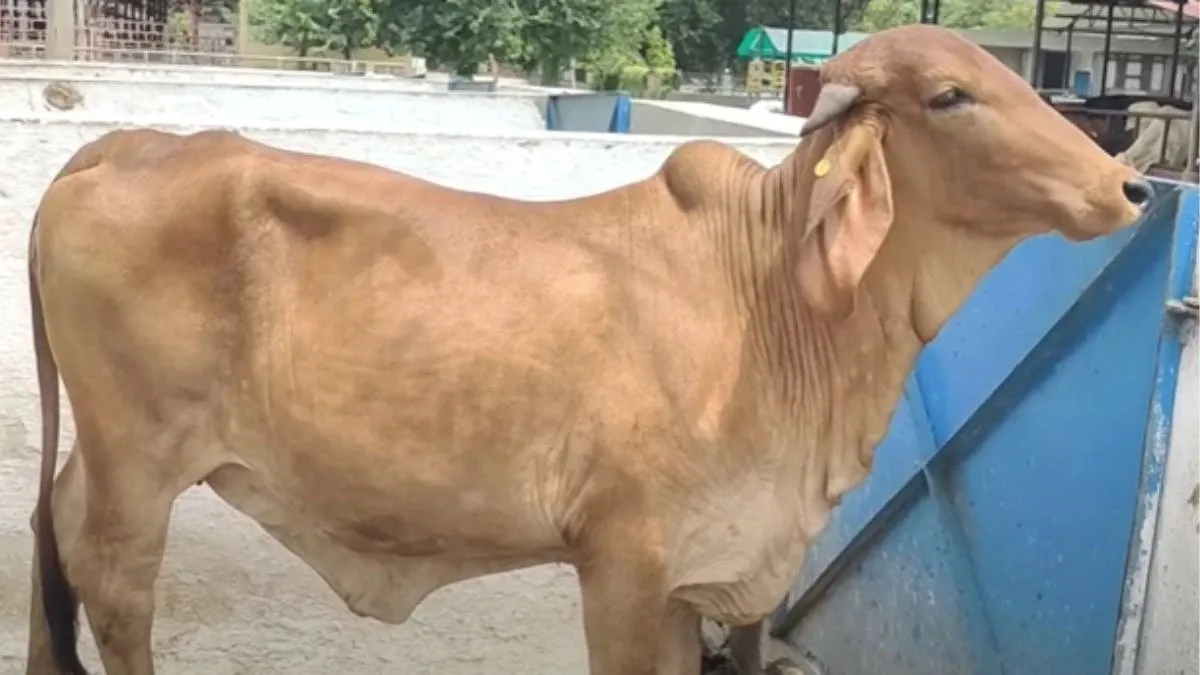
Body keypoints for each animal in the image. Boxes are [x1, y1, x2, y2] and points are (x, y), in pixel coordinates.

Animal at [24, 24, 1151, 675]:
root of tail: (129, 144)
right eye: (952, 96)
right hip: (140, 464)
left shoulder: (696, 579)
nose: (1132, 186)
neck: (770, 297)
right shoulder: (623, 564)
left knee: (55, 539)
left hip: (110, 461)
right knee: (114, 590)